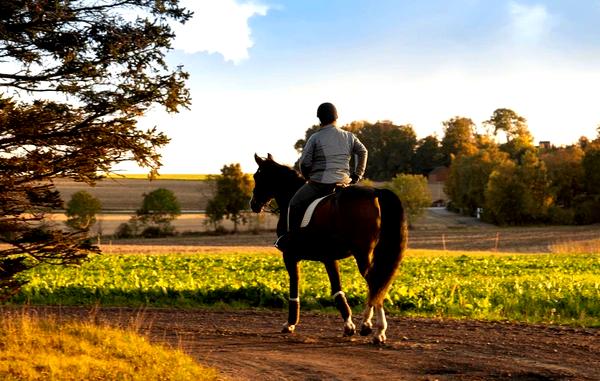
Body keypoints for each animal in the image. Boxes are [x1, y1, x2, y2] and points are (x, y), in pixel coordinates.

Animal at [248, 153, 408, 342]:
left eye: (257, 177)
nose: (253, 204)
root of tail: (376, 192)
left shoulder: (290, 255)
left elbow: (294, 285)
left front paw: (290, 324)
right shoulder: (329, 258)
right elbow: (337, 290)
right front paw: (348, 326)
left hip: (362, 253)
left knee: (375, 282)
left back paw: (374, 328)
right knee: (378, 285)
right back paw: (373, 328)